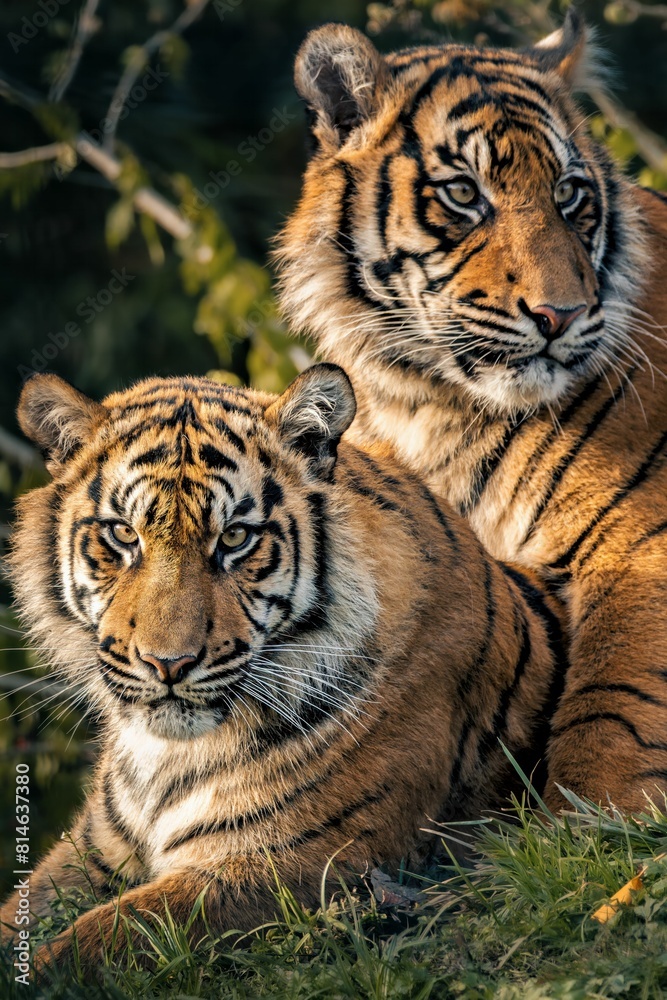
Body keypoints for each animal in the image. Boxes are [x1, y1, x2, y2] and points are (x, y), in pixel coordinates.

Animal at [0, 365, 566, 970]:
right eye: (124, 534)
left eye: (235, 537)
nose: (167, 664)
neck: (165, 755)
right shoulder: (92, 850)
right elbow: (20, 913)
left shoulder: (294, 860)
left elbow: (106, 933)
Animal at [275, 11, 667, 813]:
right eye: (462, 192)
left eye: (569, 193)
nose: (560, 313)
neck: (432, 404)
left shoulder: (641, 537)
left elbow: (618, 694)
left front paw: (597, 816)